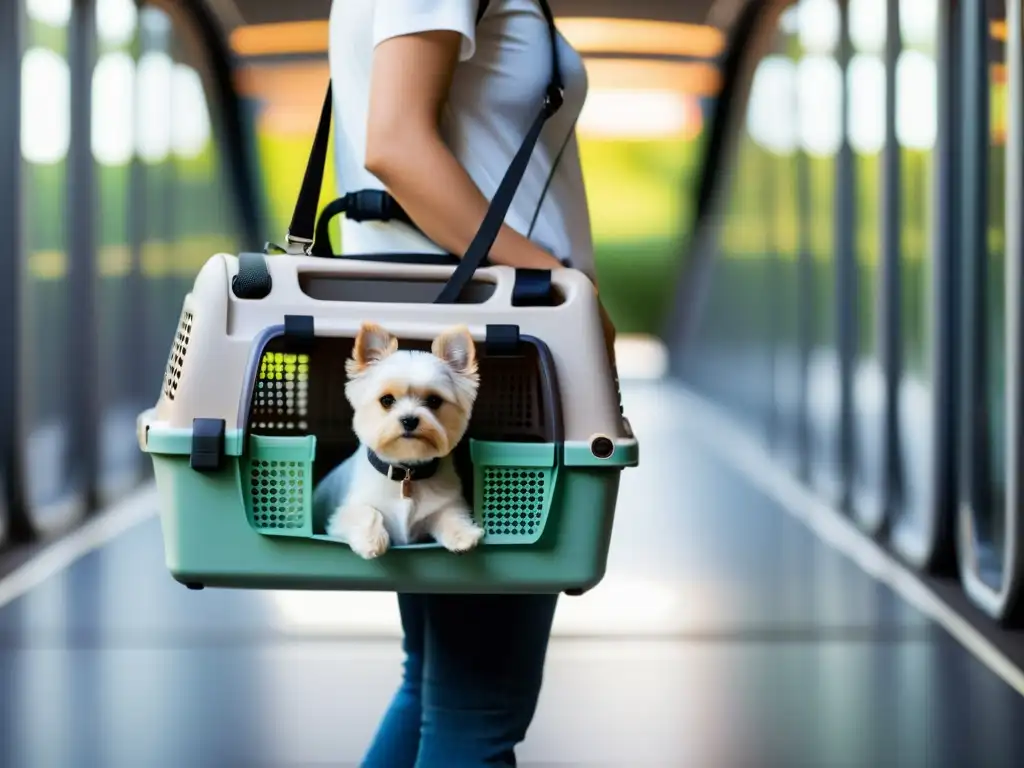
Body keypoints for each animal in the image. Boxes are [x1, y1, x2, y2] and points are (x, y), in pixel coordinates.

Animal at [313, 321, 485, 561]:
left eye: (434, 401)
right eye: (387, 400)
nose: (409, 420)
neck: (406, 472)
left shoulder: (446, 503)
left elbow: (449, 514)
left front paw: (462, 535)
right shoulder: (340, 518)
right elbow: (366, 512)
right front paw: (372, 540)